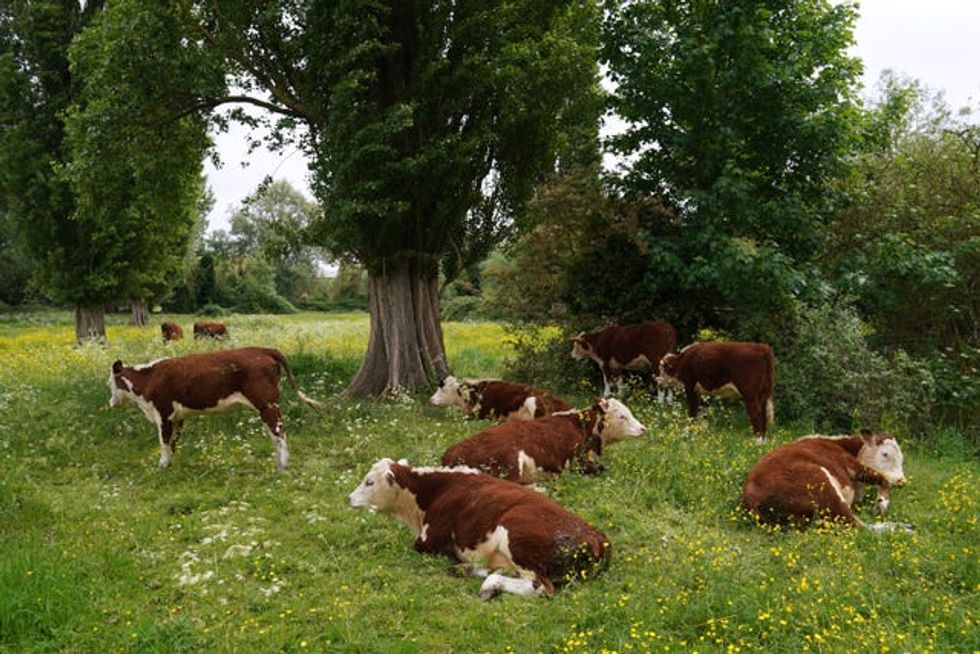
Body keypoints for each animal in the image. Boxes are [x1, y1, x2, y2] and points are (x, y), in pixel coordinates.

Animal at [107, 347, 323, 471]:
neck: (149, 377)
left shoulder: (163, 413)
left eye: (109, 383)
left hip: (266, 404)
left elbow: (165, 441)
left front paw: (161, 466)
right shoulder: (177, 416)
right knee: (275, 432)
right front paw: (169, 465)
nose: (110, 402)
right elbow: (174, 441)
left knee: (278, 431)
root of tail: (262, 349)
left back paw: (283, 464)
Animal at [349, 458, 611, 599]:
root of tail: (596, 536)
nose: (350, 498)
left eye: (369, 482)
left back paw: (489, 584)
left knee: (538, 587)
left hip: (518, 539)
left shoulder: (428, 540)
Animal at [441, 398, 646, 483]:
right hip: (510, 463)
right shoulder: (578, 464)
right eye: (622, 416)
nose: (643, 428)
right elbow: (601, 469)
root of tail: (452, 452)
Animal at [742, 430, 911, 532]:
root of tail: (752, 499)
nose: (902, 481)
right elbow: (883, 480)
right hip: (822, 485)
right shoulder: (853, 465)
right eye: (885, 454)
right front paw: (882, 503)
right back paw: (904, 528)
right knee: (859, 526)